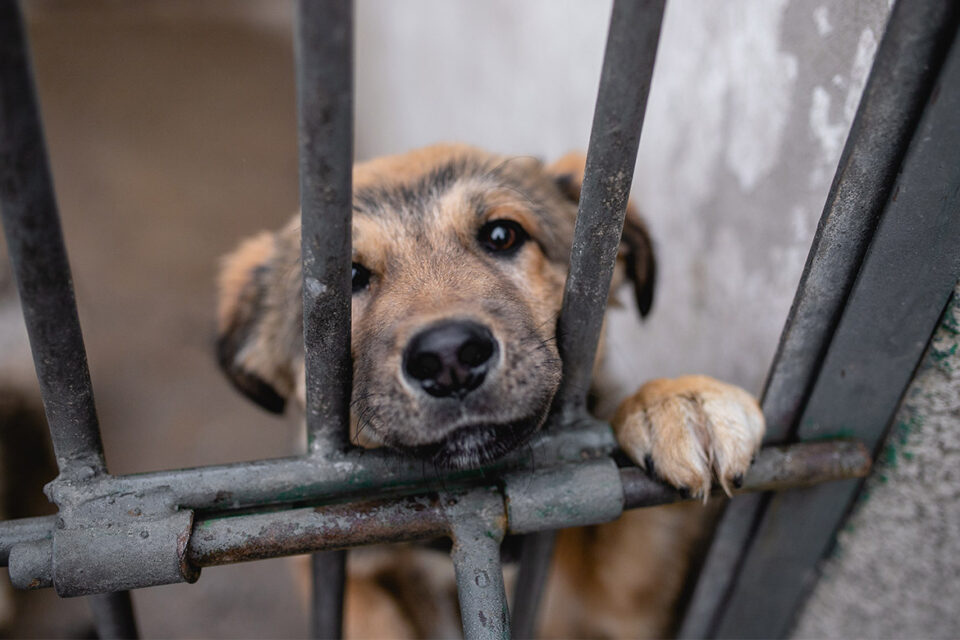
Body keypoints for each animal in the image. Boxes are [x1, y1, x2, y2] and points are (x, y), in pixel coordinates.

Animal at [218, 145, 764, 640]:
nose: (450, 358)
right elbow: (370, 616)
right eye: (348, 277)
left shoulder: (623, 600)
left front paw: (677, 402)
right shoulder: (333, 563)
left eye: (502, 235)